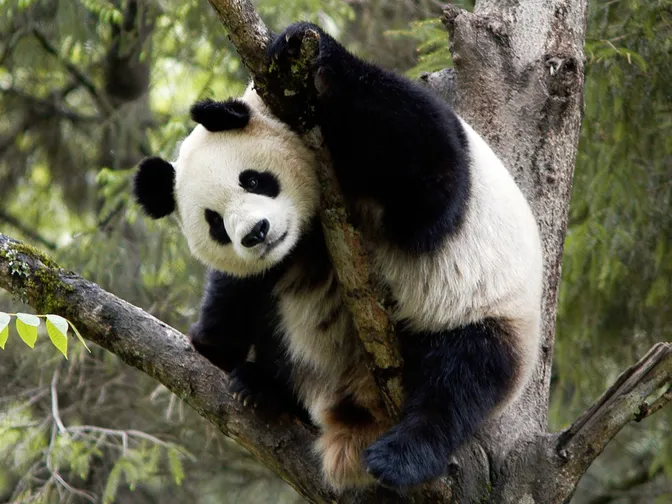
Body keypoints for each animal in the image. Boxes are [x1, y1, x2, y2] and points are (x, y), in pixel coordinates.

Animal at [132, 21, 543, 492]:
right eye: (215, 223)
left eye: (253, 180)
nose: (256, 234)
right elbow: (236, 295)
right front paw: (211, 339)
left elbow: (431, 180)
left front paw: (301, 46)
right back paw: (263, 388)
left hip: (485, 311)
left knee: (462, 378)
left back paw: (401, 456)